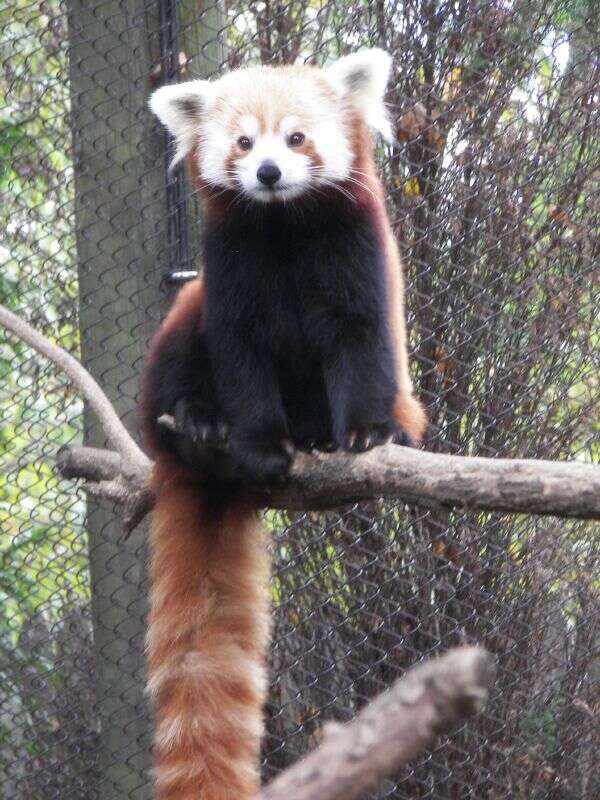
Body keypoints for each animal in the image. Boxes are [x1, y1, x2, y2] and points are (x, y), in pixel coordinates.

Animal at [141, 50, 426, 800]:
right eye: (244, 143)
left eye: (297, 138)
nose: (268, 172)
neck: (284, 226)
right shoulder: (230, 268)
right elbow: (241, 356)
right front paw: (260, 444)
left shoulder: (358, 252)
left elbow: (361, 340)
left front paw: (363, 434)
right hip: (180, 325)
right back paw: (198, 422)